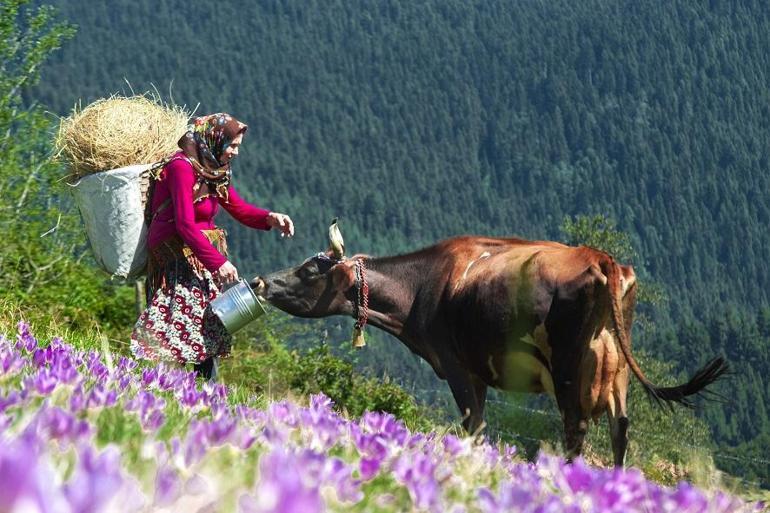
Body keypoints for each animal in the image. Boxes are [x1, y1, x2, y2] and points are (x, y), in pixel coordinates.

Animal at [252, 220, 728, 464]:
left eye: (309, 270)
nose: (261, 281)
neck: (423, 287)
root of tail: (600, 257)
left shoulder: (459, 367)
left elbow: (474, 427)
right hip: (616, 372)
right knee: (619, 430)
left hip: (569, 370)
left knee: (575, 432)